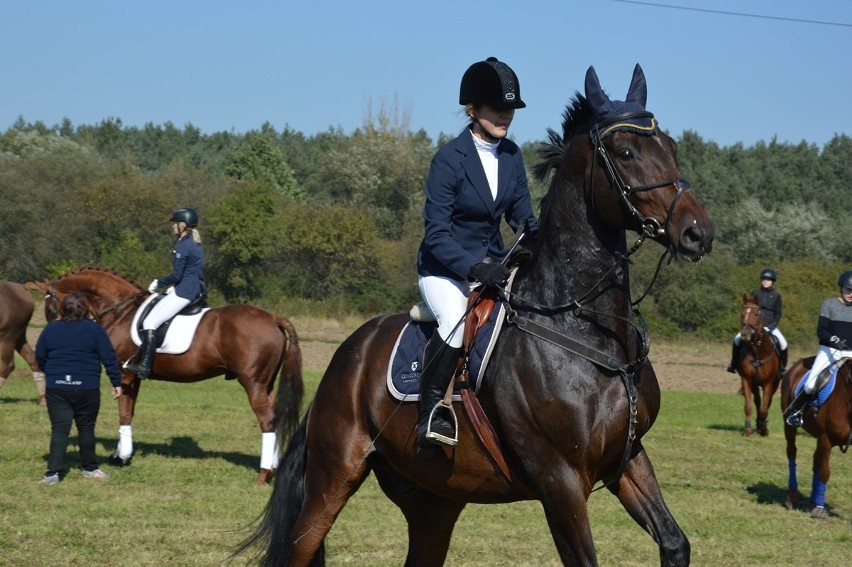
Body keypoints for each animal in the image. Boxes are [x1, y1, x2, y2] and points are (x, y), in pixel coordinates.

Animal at [25, 268, 302, 484]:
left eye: (50, 306)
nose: (53, 335)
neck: (119, 310)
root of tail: (273, 317)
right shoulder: (133, 378)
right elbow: (129, 412)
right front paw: (120, 454)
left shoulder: (124, 374)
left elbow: (123, 412)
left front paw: (121, 456)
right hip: (266, 384)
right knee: (276, 417)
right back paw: (273, 468)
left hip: (253, 383)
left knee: (267, 420)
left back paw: (263, 475)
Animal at [236, 64, 716, 564]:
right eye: (625, 152)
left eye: (672, 147)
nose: (698, 232)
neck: (586, 330)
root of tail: (344, 358)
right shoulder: (560, 479)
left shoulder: (627, 458)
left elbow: (674, 541)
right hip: (334, 477)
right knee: (301, 544)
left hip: (434, 499)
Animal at [736, 290, 784, 438]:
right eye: (742, 313)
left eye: (756, 314)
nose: (745, 334)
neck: (757, 351)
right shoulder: (746, 380)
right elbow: (748, 406)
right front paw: (748, 429)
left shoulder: (769, 383)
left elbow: (764, 407)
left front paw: (764, 429)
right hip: (755, 384)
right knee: (757, 401)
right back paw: (757, 424)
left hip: (773, 384)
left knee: (766, 403)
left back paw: (762, 425)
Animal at [784, 360, 848, 520]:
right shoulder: (826, 438)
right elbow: (825, 472)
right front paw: (819, 508)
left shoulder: (823, 439)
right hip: (789, 425)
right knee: (792, 452)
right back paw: (792, 496)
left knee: (816, 460)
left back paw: (813, 498)